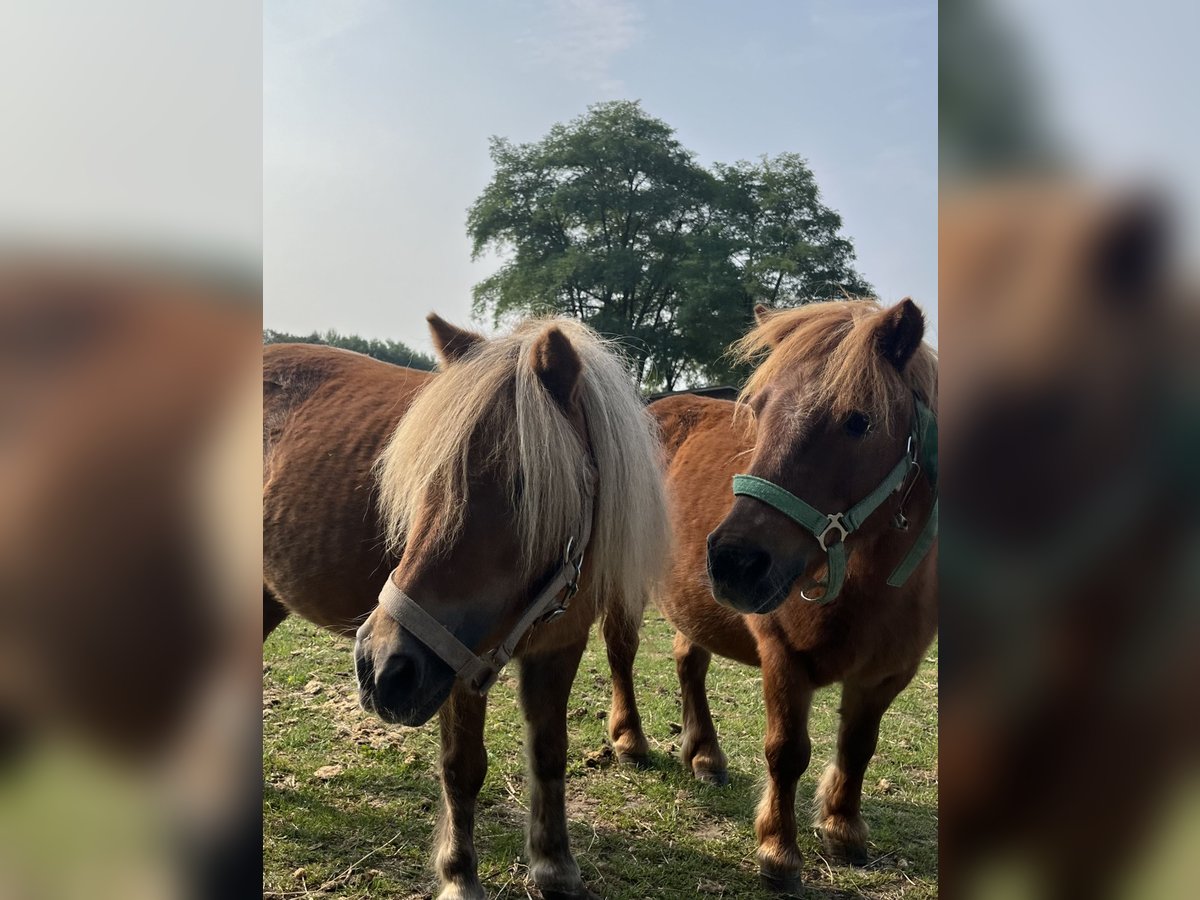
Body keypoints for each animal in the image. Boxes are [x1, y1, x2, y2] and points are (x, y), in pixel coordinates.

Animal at [262, 314, 672, 900]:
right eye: (421, 476)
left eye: (522, 486)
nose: (379, 666)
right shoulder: (454, 663)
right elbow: (462, 768)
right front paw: (459, 875)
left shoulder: (559, 646)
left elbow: (550, 751)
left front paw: (555, 864)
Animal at [609, 297, 936, 897]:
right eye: (758, 410)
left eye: (859, 421)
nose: (734, 561)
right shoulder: (783, 658)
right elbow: (786, 753)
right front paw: (779, 853)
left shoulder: (888, 674)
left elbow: (859, 746)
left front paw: (844, 829)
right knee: (621, 651)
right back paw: (630, 741)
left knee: (688, 661)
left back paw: (705, 755)